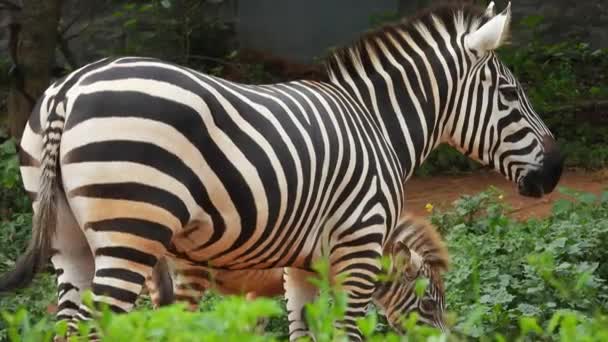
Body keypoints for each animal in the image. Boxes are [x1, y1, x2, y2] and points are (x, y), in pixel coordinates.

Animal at [0, 1, 564, 340]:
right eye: (510, 93)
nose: (556, 171)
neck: (377, 122)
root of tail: (69, 88)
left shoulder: (300, 264)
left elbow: (302, 332)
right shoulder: (359, 249)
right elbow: (346, 332)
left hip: (69, 242)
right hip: (130, 231)